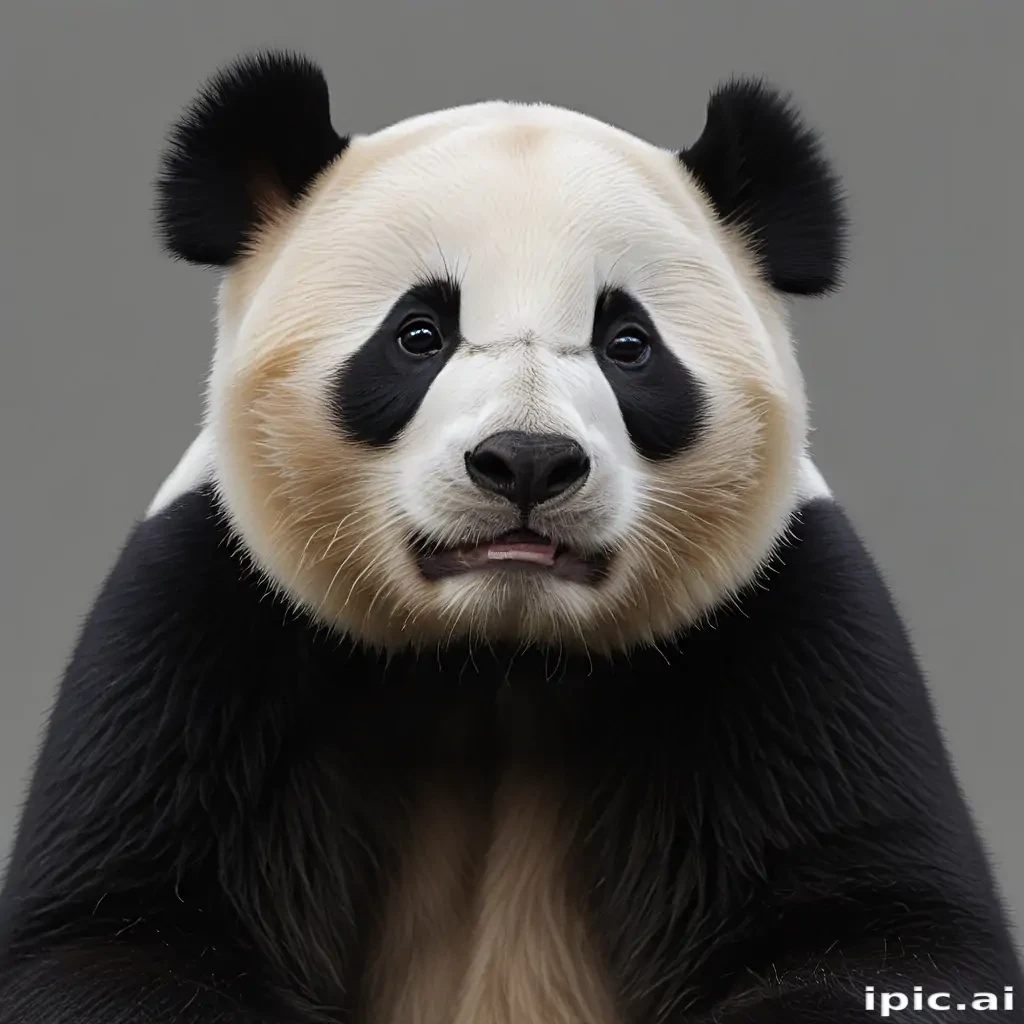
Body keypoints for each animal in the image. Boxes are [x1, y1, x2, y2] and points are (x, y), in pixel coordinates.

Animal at [0, 50, 1019, 1024]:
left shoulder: (786, 635)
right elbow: (111, 935)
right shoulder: (205, 629)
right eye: (418, 333)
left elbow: (877, 931)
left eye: (628, 344)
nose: (527, 462)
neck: (497, 656)